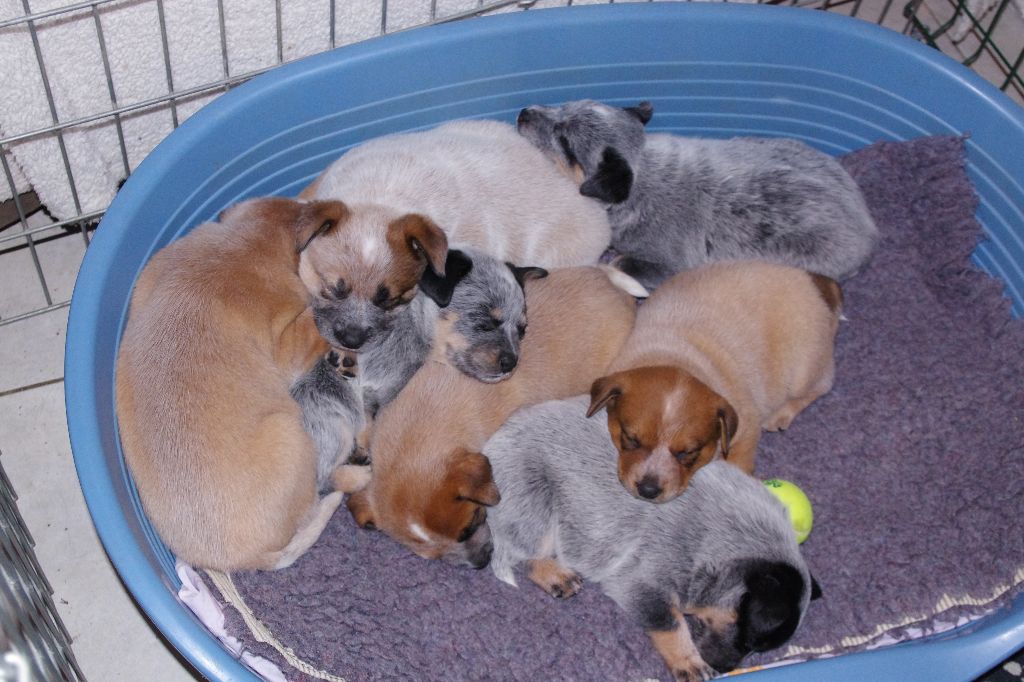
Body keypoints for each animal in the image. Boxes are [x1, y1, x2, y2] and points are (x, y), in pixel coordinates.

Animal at [116, 197, 370, 571]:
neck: (242, 245)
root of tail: (251, 560)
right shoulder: (289, 346)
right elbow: (312, 320)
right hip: (293, 435)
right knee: (319, 494)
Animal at [484, 396, 821, 680]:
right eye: (750, 638)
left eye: (758, 647)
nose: (726, 668)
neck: (727, 541)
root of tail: (489, 448)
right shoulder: (640, 582)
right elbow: (671, 624)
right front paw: (689, 663)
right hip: (537, 506)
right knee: (523, 552)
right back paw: (556, 575)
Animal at [516, 99, 878, 289]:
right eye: (563, 106)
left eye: (565, 141)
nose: (523, 112)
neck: (643, 170)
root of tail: (869, 227)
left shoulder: (667, 263)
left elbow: (621, 260)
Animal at [587, 261, 842, 503]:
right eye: (631, 439)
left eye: (688, 452)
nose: (648, 490)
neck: (674, 359)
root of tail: (814, 282)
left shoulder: (747, 427)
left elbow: (739, 461)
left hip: (805, 367)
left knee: (822, 386)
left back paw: (782, 414)